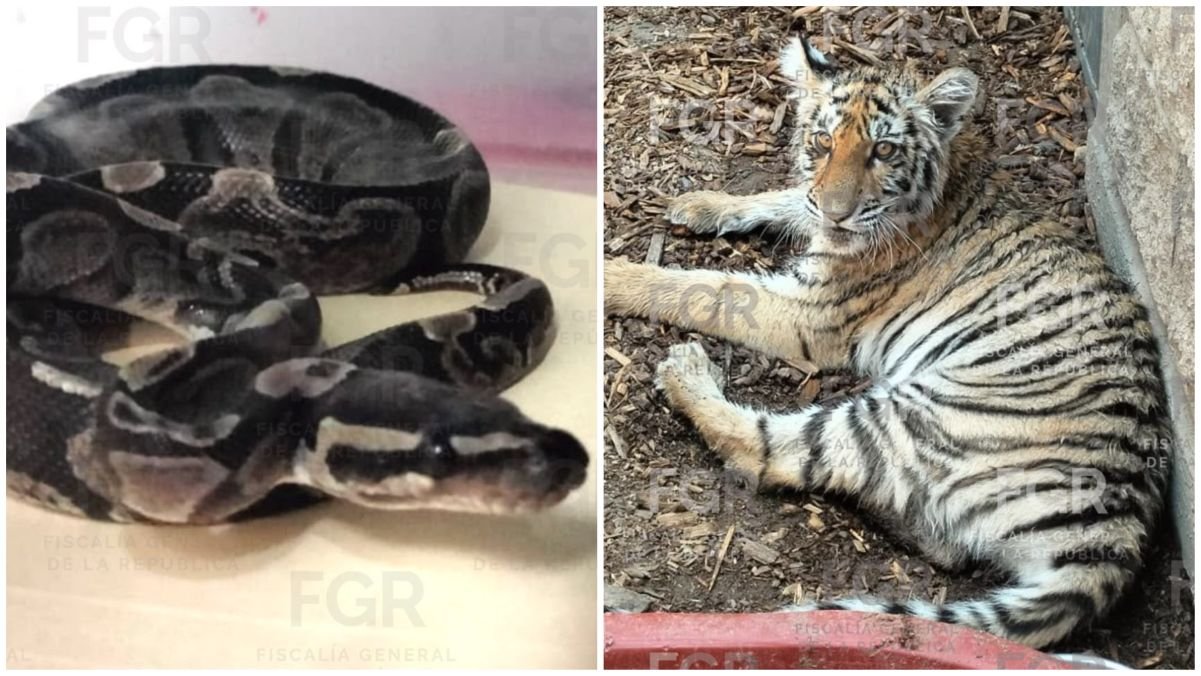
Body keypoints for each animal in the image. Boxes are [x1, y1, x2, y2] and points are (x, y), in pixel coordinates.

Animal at [604, 35, 1172, 648]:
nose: (837, 213)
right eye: (822, 142)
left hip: (919, 412)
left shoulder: (810, 315)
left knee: (771, 451)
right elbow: (789, 196)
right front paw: (702, 203)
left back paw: (684, 371)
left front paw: (614, 276)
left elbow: (706, 288)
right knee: (946, 544)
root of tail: (1115, 539)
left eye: (884, 151)